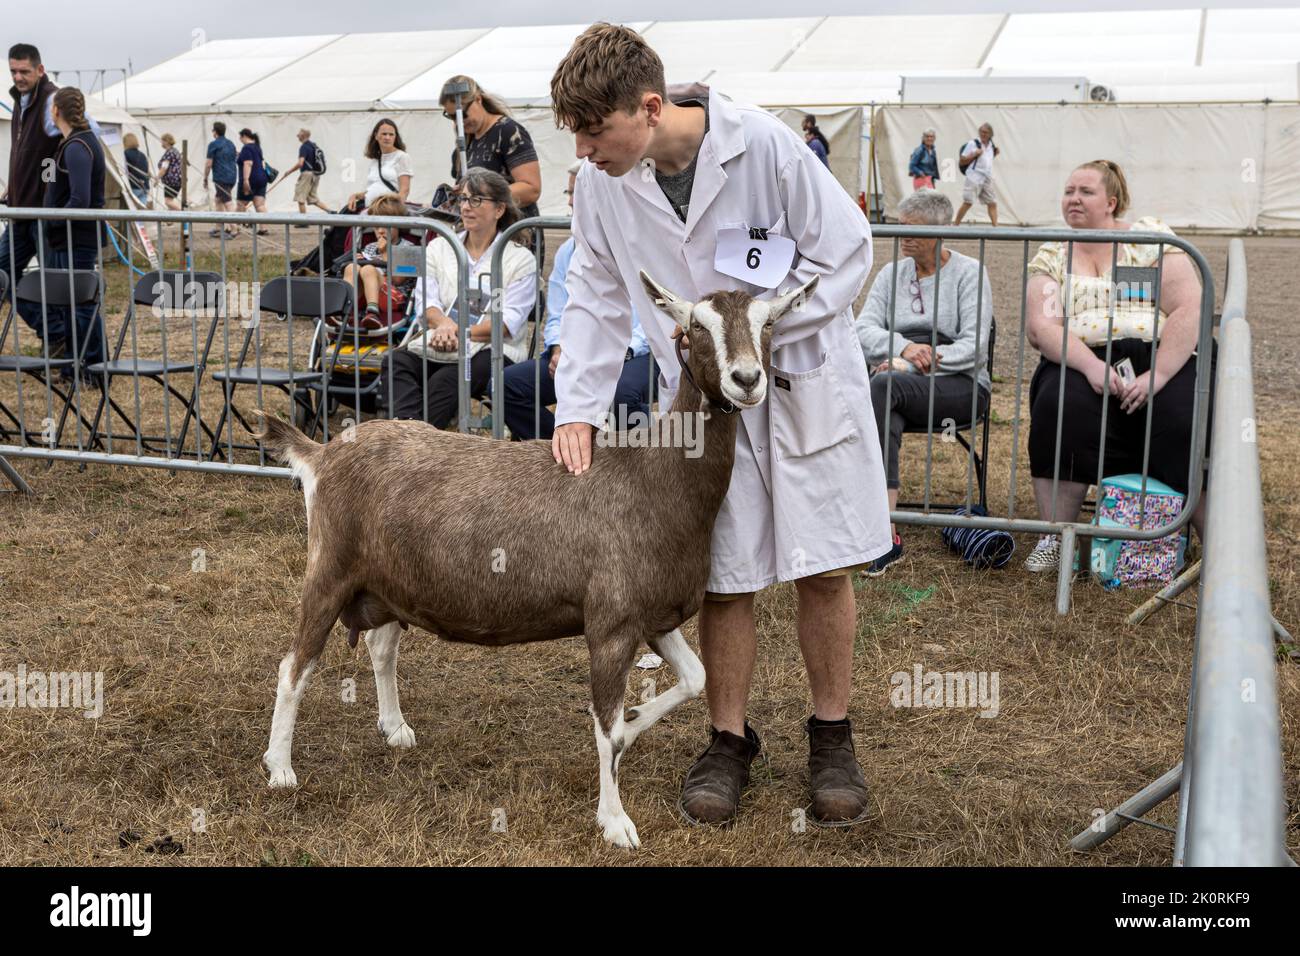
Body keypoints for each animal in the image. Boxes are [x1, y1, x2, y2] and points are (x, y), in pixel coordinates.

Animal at [252, 270, 818, 848]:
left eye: (768, 323)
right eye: (698, 326)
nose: (746, 379)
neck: (654, 474)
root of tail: (322, 453)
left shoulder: (654, 616)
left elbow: (694, 679)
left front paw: (636, 718)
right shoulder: (611, 622)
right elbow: (607, 729)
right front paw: (615, 821)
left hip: (389, 582)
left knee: (380, 647)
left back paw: (395, 729)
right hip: (330, 569)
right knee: (293, 666)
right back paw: (280, 768)